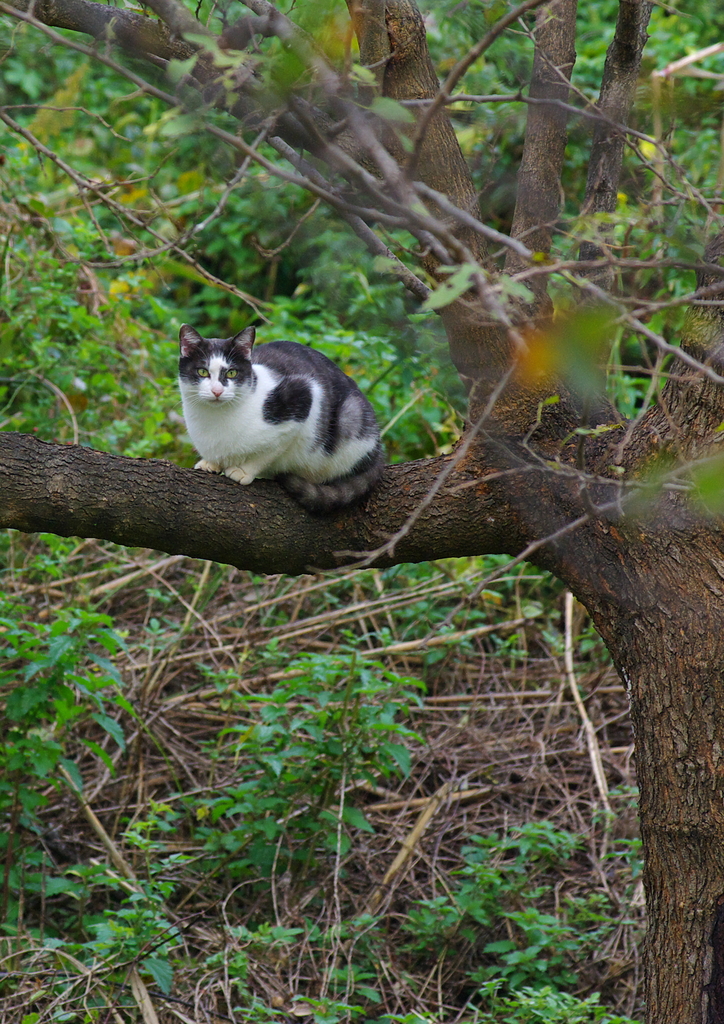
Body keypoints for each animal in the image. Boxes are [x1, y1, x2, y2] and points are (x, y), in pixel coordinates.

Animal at [178, 323, 385, 512]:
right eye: (202, 371)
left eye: (231, 372)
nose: (217, 391)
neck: (214, 419)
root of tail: (378, 450)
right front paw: (210, 463)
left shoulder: (303, 396)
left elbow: (268, 452)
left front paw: (242, 471)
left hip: (352, 415)